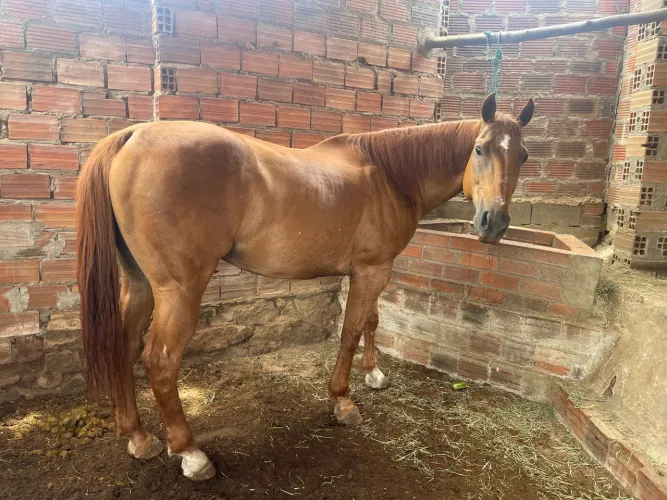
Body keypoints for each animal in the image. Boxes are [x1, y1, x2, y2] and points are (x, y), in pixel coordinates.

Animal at [75, 93, 534, 481]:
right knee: (160, 361)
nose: (494, 223)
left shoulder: (372, 270)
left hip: (140, 284)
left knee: (124, 346)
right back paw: (190, 453)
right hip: (179, 290)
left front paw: (374, 375)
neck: (389, 175)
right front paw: (344, 402)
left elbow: (372, 321)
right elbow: (351, 331)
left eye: (523, 155)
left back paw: (139, 437)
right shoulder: (372, 269)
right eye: (479, 149)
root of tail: (132, 136)